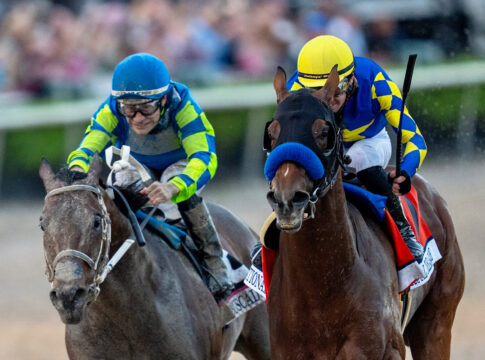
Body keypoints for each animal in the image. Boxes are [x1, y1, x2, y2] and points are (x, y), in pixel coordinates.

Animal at [264, 67, 466, 358]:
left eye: (324, 133)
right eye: (272, 133)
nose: (287, 199)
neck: (322, 288)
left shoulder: (387, 348)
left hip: (436, 323)